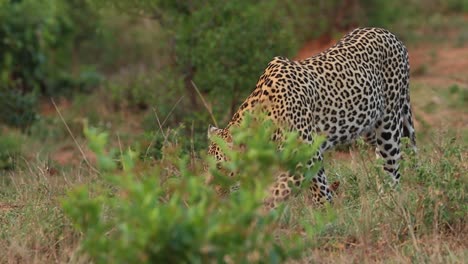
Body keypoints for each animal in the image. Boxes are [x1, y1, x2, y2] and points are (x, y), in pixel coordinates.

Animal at [207, 27, 416, 210]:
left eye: (221, 166)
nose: (214, 196)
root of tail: (390, 34)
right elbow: (317, 189)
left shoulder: (307, 158)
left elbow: (279, 191)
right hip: (368, 126)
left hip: (389, 124)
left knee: (393, 166)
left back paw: (388, 201)